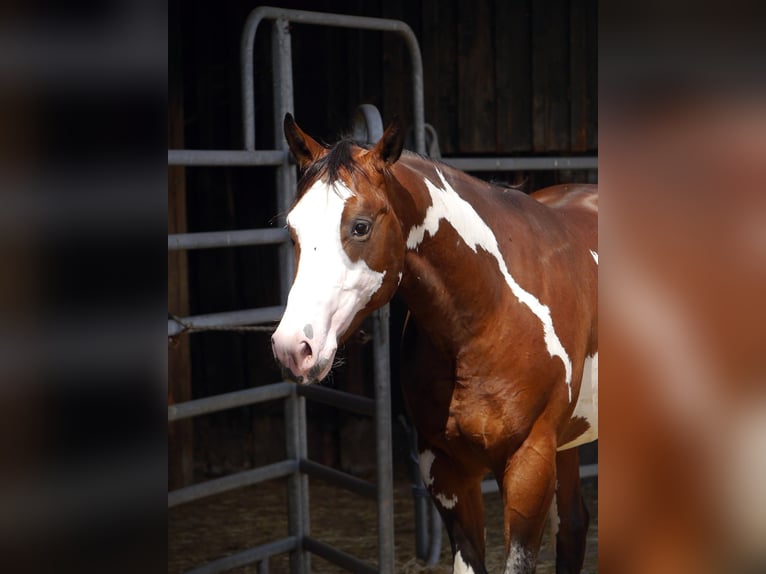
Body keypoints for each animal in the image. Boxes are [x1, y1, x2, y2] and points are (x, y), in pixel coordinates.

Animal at [271, 114, 598, 574]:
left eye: (360, 226)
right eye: (293, 229)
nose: (293, 347)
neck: (488, 312)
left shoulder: (528, 463)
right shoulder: (445, 471)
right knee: (572, 528)